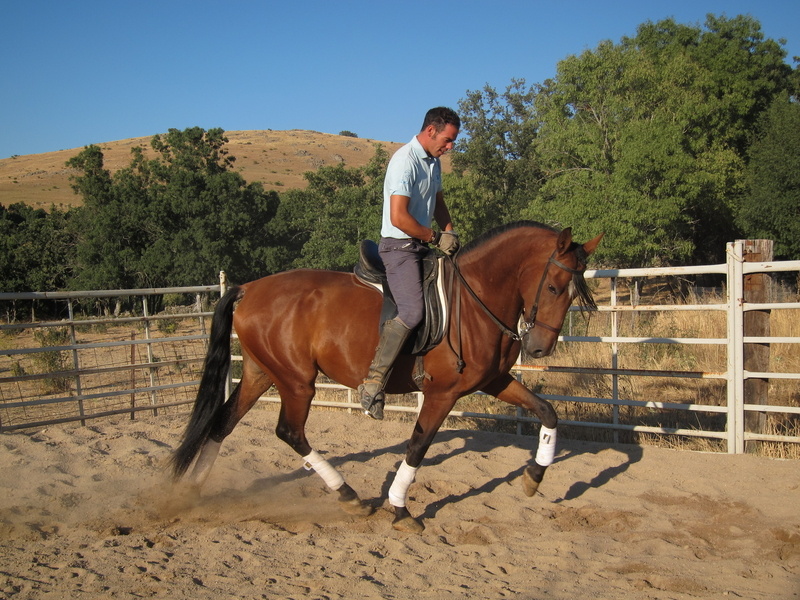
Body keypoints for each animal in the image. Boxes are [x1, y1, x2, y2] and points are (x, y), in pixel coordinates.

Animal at [171, 221, 602, 532]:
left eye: (574, 293)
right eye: (553, 287)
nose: (540, 349)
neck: (474, 300)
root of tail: (249, 288)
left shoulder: (493, 381)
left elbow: (547, 412)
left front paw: (535, 476)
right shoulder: (442, 393)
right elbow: (417, 447)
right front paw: (399, 508)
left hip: (262, 373)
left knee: (223, 422)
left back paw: (190, 493)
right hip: (297, 382)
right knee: (289, 432)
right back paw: (350, 496)